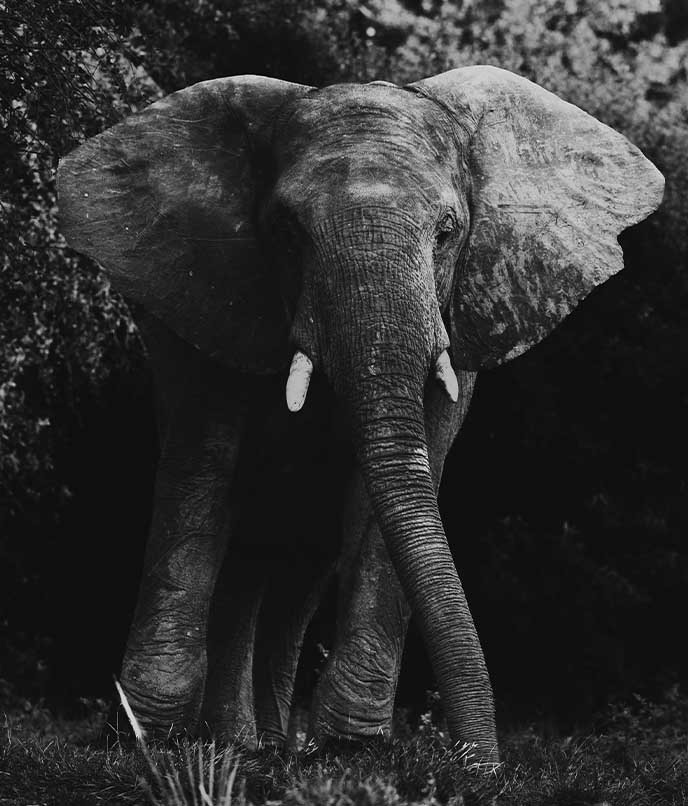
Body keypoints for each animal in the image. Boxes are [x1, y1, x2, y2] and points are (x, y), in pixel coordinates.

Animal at [57, 65, 663, 765]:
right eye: (286, 231)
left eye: (448, 232)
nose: (484, 767)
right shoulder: (206, 297)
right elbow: (202, 475)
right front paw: (144, 744)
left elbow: (394, 491)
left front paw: (352, 749)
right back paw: (234, 746)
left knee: (291, 566)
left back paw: (261, 748)